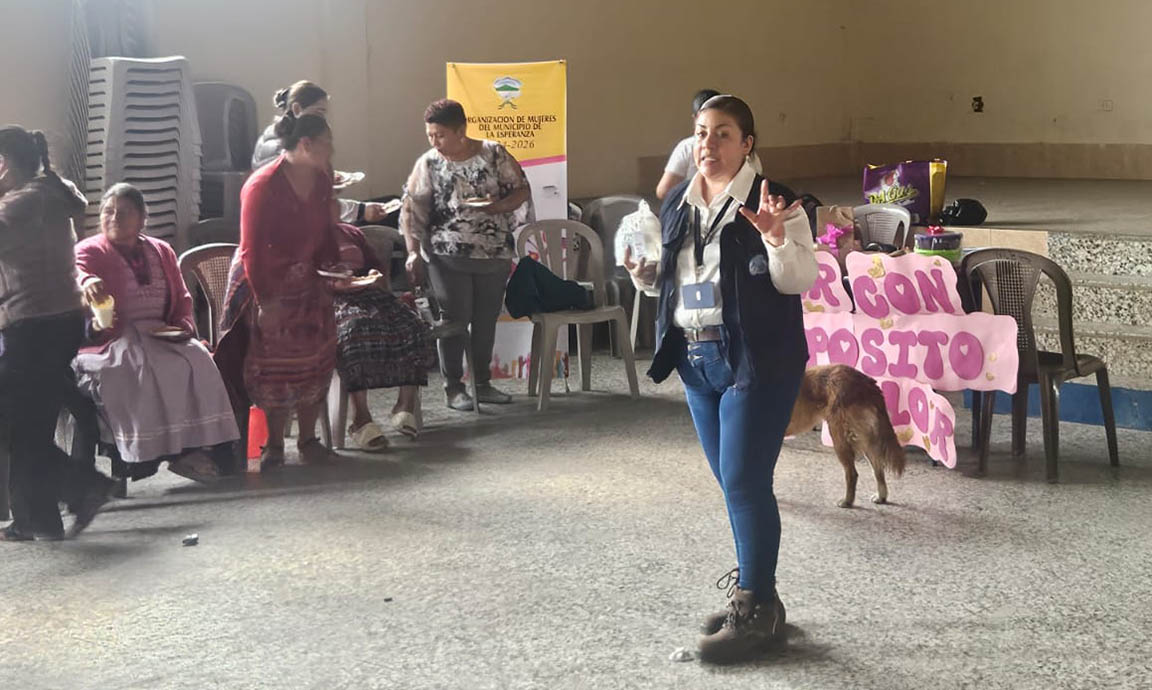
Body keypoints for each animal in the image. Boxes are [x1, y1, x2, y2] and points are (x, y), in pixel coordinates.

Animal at [785, 365, 906, 508]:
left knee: (852, 473)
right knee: (878, 468)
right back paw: (881, 496)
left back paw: (847, 501)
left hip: (839, 436)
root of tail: (866, 382)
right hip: (865, 438)